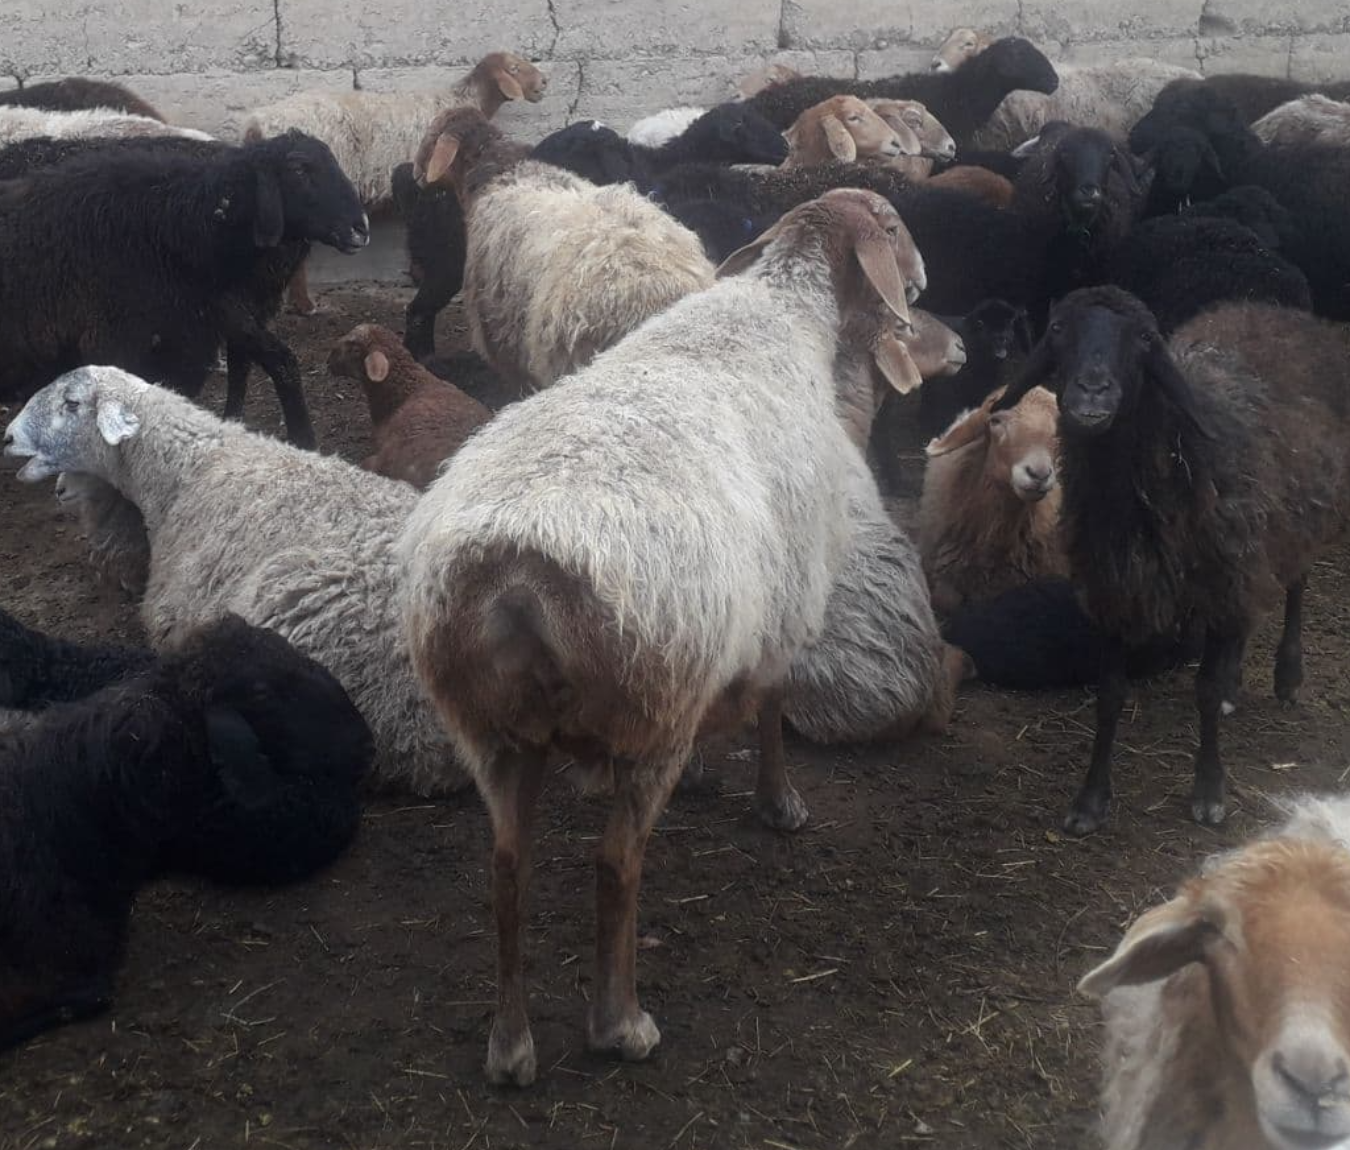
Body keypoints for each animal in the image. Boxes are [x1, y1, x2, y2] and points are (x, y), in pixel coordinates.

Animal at [397, 188, 920, 1086]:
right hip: (655, 702)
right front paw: (779, 804)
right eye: (893, 227)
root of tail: (516, 578)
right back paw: (621, 1024)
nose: (919, 285)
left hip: (489, 728)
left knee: (508, 867)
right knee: (615, 864)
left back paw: (510, 1046)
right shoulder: (785, 601)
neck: (787, 308)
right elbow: (772, 706)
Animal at [994, 287, 1350, 834]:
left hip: (1292, 520)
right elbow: (1109, 695)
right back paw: (1235, 679)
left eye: (1144, 338)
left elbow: (1203, 690)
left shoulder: (1221, 574)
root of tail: (1268, 306)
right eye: (1058, 328)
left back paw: (1288, 674)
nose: (1092, 393)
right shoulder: (1115, 585)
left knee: (1296, 582)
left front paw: (1209, 791)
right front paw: (1091, 800)